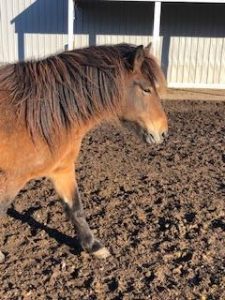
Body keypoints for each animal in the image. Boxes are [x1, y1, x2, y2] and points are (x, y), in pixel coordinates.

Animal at [0, 43, 167, 258]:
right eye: (146, 89)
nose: (163, 132)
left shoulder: (62, 169)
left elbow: (75, 208)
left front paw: (93, 246)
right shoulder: (11, 179)